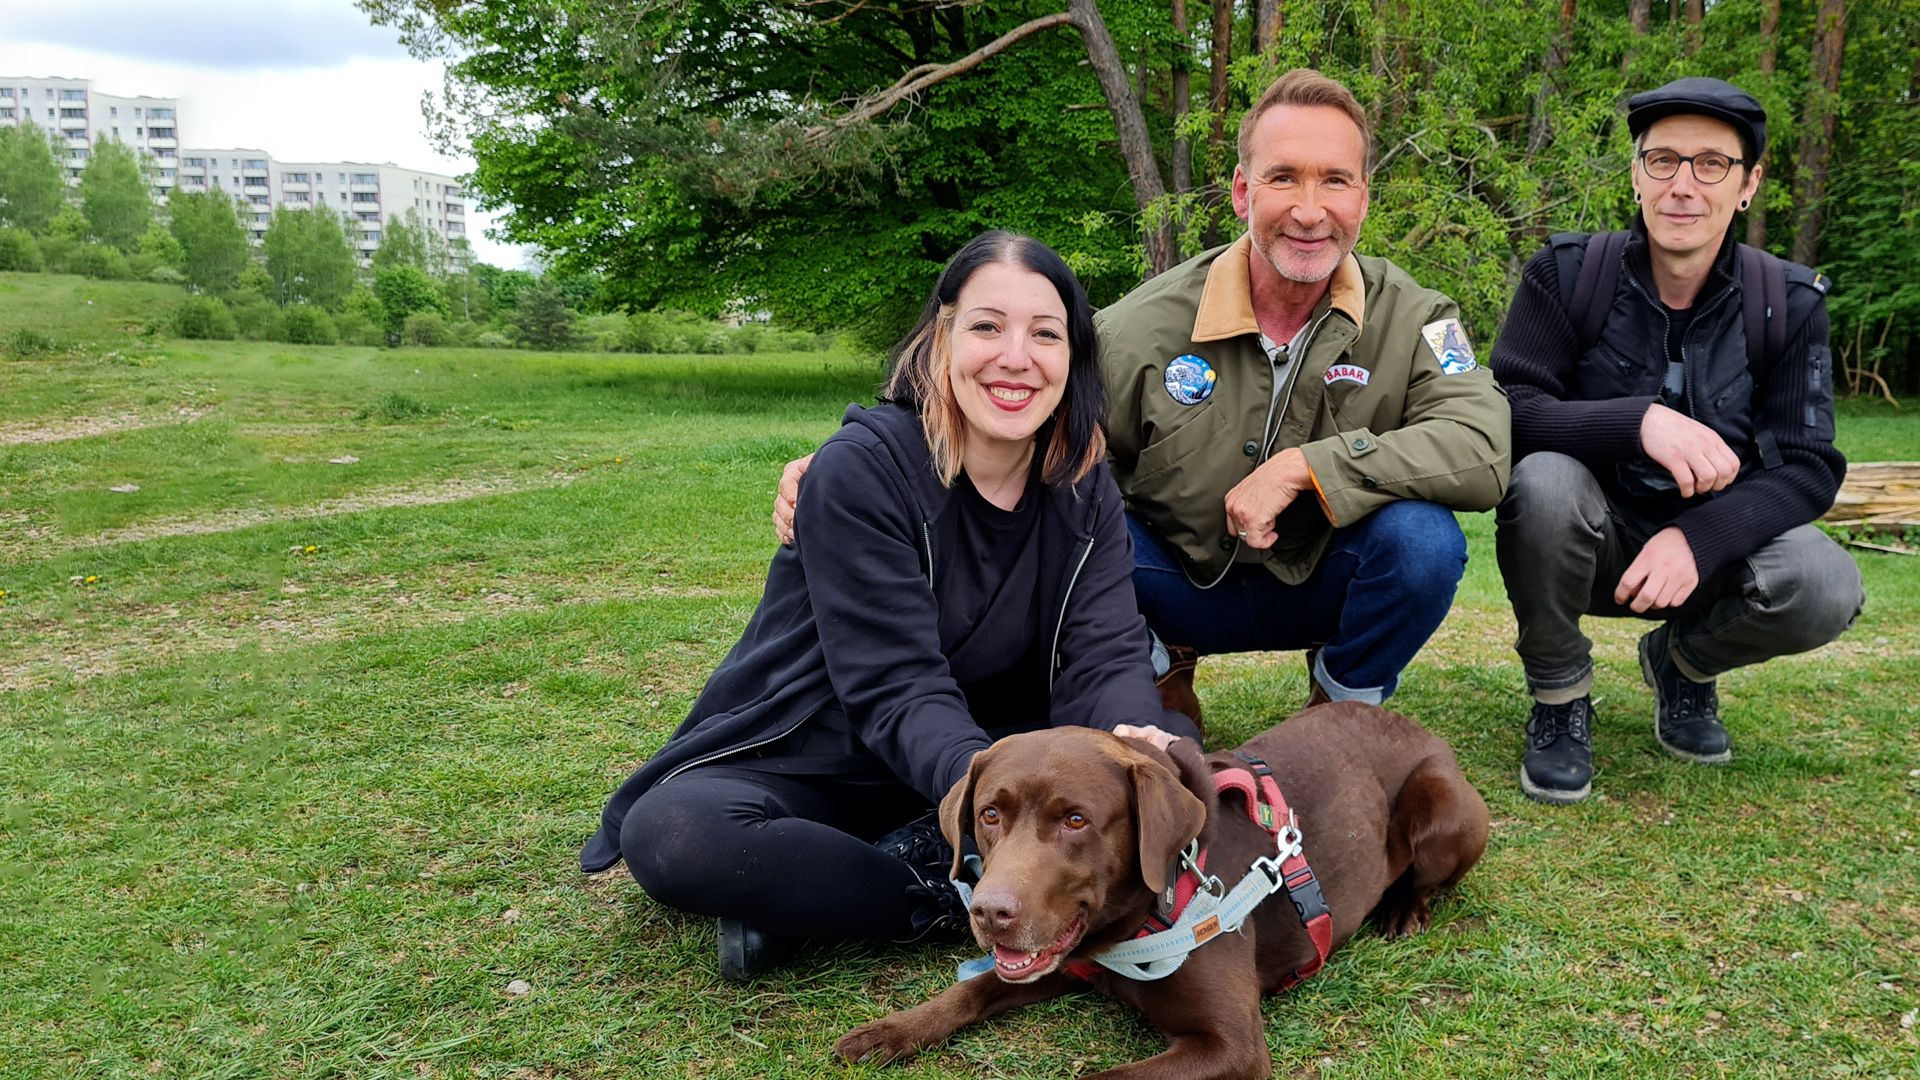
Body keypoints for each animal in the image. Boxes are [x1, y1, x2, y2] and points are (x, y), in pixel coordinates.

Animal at [837, 699, 1482, 1076]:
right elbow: (970, 990)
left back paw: (1404, 911)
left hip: (1445, 813)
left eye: (1076, 820)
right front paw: (890, 1031)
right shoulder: (1063, 961)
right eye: (990, 815)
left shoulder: (1232, 1047)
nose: (991, 913)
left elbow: (1102, 1078)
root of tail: (1421, 726)